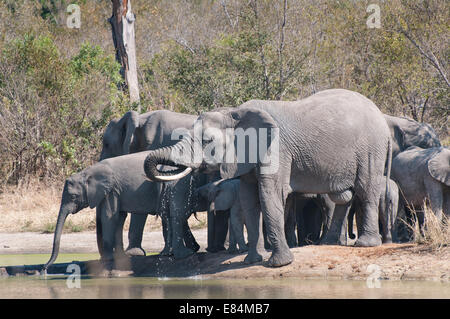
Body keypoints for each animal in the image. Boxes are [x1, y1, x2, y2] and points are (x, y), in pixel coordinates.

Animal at [42, 151, 200, 272]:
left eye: (73, 196)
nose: (44, 268)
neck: (87, 172)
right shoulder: (115, 191)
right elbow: (119, 217)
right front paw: (120, 258)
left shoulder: (111, 189)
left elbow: (109, 216)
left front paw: (109, 259)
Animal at [143, 89, 390, 268]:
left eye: (206, 140)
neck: (235, 112)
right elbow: (249, 199)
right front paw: (252, 260)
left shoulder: (276, 150)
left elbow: (270, 195)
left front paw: (279, 264)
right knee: (343, 197)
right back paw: (328, 243)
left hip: (371, 148)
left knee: (365, 189)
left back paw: (365, 244)